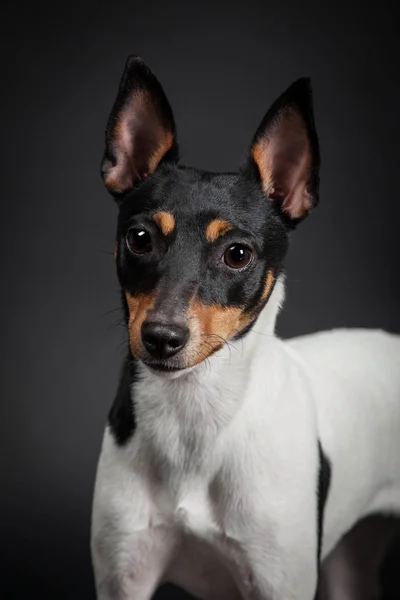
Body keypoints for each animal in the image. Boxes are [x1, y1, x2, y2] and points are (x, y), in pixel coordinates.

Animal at [90, 56, 400, 600]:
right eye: (140, 238)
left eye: (237, 254)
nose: (161, 337)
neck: (196, 417)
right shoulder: (122, 577)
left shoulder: (278, 582)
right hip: (351, 567)